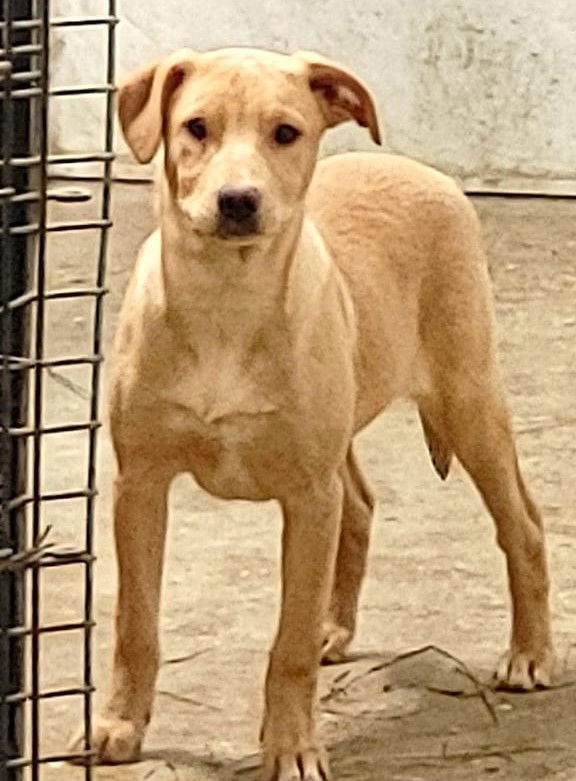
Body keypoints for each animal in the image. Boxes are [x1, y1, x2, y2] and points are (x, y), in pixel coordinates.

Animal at [81, 47, 552, 780]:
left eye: (286, 133)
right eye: (195, 128)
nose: (238, 201)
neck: (227, 303)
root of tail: (420, 169)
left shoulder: (306, 496)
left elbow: (289, 643)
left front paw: (292, 746)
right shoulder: (141, 484)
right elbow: (137, 622)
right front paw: (119, 724)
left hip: (468, 399)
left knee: (522, 525)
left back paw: (529, 654)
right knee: (358, 503)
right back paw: (338, 626)